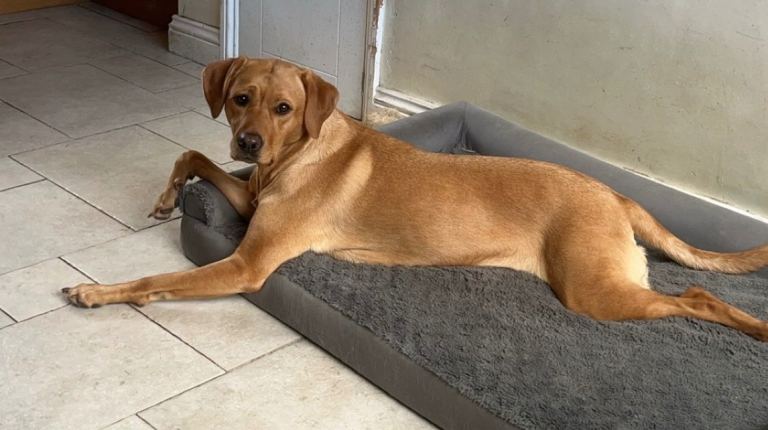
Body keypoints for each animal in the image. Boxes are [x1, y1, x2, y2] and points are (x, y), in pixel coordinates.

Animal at [62, 57, 768, 341]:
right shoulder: (247, 194)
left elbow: (153, 278)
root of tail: (615, 193)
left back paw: (751, 328)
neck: (293, 157)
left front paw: (99, 292)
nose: (249, 141)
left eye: (284, 107)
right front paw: (166, 197)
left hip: (595, 290)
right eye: (241, 98)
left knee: (698, 298)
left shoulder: (247, 263)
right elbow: (193, 156)